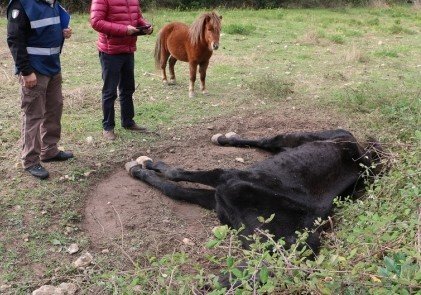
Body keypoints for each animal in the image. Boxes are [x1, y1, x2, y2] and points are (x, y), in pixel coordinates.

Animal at [124, 128, 380, 253]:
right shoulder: (218, 198)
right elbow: (175, 188)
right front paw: (142, 168)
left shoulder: (223, 181)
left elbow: (176, 178)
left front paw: (144, 166)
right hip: (294, 141)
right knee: (267, 142)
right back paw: (224, 138)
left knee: (268, 141)